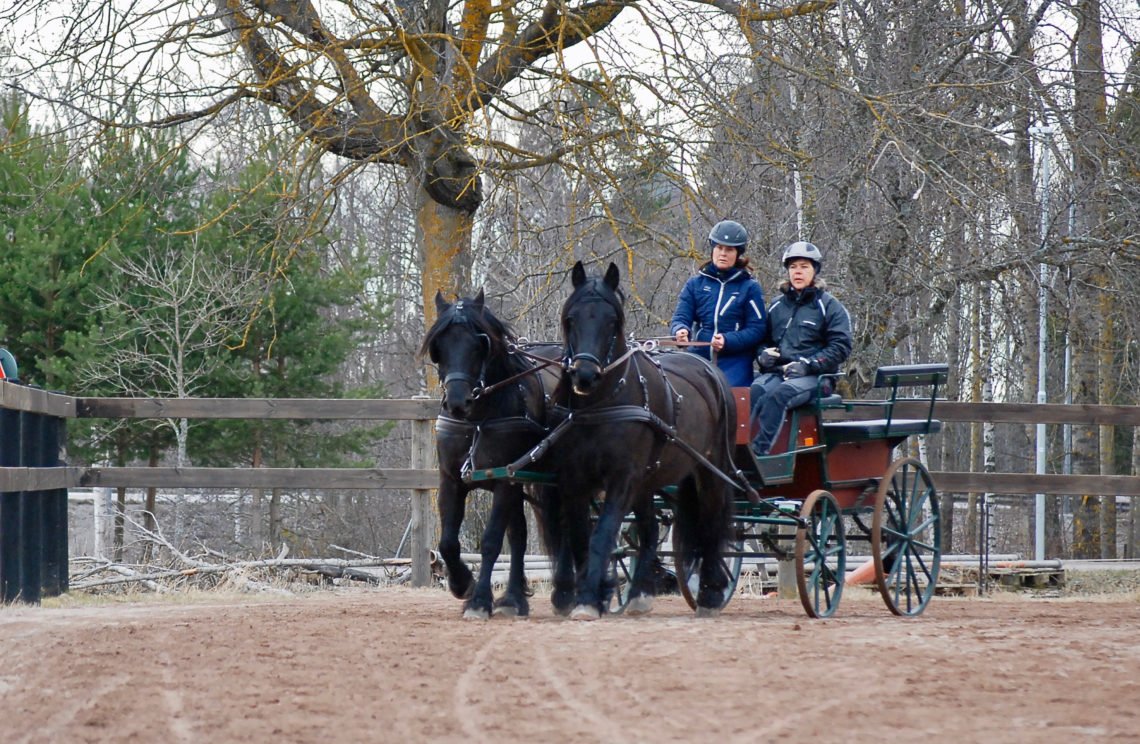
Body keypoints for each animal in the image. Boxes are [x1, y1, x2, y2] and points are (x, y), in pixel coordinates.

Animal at [419, 290, 560, 619]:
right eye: (438, 346)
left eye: (478, 344)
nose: (458, 402)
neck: (479, 419)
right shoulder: (451, 480)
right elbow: (448, 542)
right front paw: (463, 585)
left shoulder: (505, 481)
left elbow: (491, 541)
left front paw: (479, 601)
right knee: (520, 535)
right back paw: (513, 599)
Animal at [554, 258, 738, 619]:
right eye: (571, 319)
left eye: (612, 321)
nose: (584, 376)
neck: (601, 404)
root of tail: (709, 369)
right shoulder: (574, 478)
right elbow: (582, 536)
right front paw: (590, 594)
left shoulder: (622, 477)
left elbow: (601, 535)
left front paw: (588, 599)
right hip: (648, 480)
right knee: (651, 531)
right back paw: (639, 593)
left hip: (710, 470)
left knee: (711, 525)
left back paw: (710, 594)